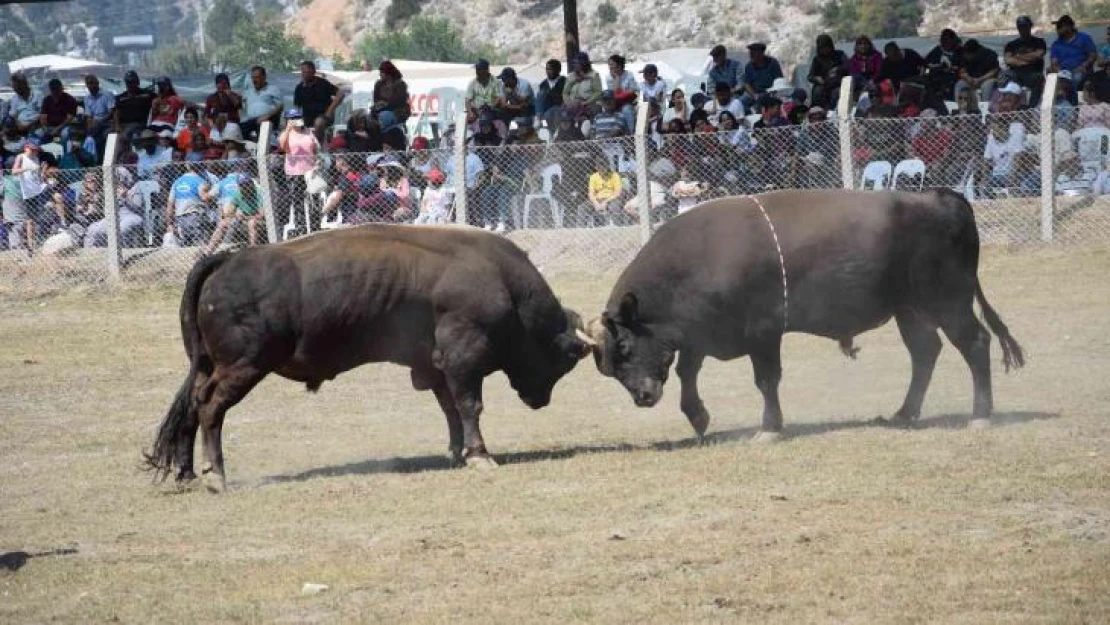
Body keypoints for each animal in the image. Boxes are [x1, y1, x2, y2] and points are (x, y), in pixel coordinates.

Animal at [148, 224, 599, 488]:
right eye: (568, 357)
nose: (540, 400)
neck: (502, 281)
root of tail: (227, 259)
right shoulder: (462, 359)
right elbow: (470, 406)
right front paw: (479, 456)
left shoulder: (434, 366)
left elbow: (451, 410)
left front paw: (456, 452)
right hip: (244, 367)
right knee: (211, 406)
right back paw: (217, 476)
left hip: (210, 366)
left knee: (192, 406)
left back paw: (187, 474)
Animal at [586, 188, 1025, 437]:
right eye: (609, 366)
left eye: (624, 346)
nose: (642, 396)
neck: (695, 259)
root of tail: (943, 197)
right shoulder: (697, 335)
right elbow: (687, 372)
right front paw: (698, 417)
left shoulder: (762, 333)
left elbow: (766, 379)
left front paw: (769, 428)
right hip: (910, 310)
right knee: (925, 353)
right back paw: (904, 413)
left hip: (948, 301)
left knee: (975, 343)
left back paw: (980, 415)